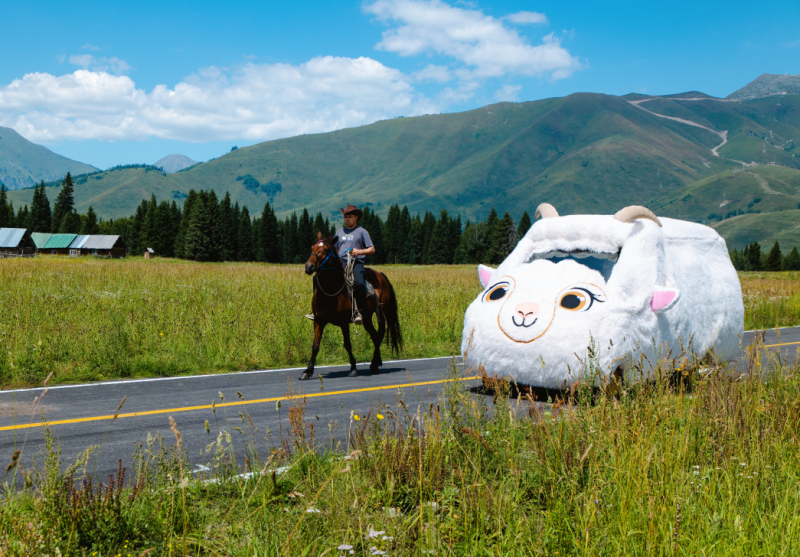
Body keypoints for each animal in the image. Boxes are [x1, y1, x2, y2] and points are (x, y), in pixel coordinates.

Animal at [298, 230, 404, 378]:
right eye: (312, 247)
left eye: (325, 249)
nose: (309, 267)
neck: (331, 291)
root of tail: (381, 275)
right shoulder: (318, 321)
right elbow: (315, 345)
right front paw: (307, 371)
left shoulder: (343, 322)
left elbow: (347, 344)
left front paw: (353, 368)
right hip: (367, 319)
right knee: (375, 335)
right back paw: (376, 363)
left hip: (381, 314)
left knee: (380, 334)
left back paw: (373, 363)